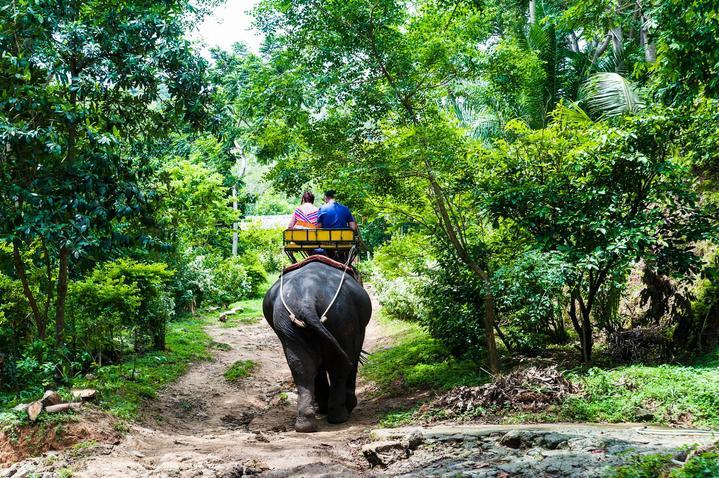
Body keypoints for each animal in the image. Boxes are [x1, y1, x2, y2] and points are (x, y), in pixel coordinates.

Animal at [262, 262, 372, 434]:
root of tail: (306, 299)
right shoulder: (359, 330)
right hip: (343, 318)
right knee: (341, 365)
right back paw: (340, 415)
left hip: (286, 324)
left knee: (301, 367)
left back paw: (305, 424)